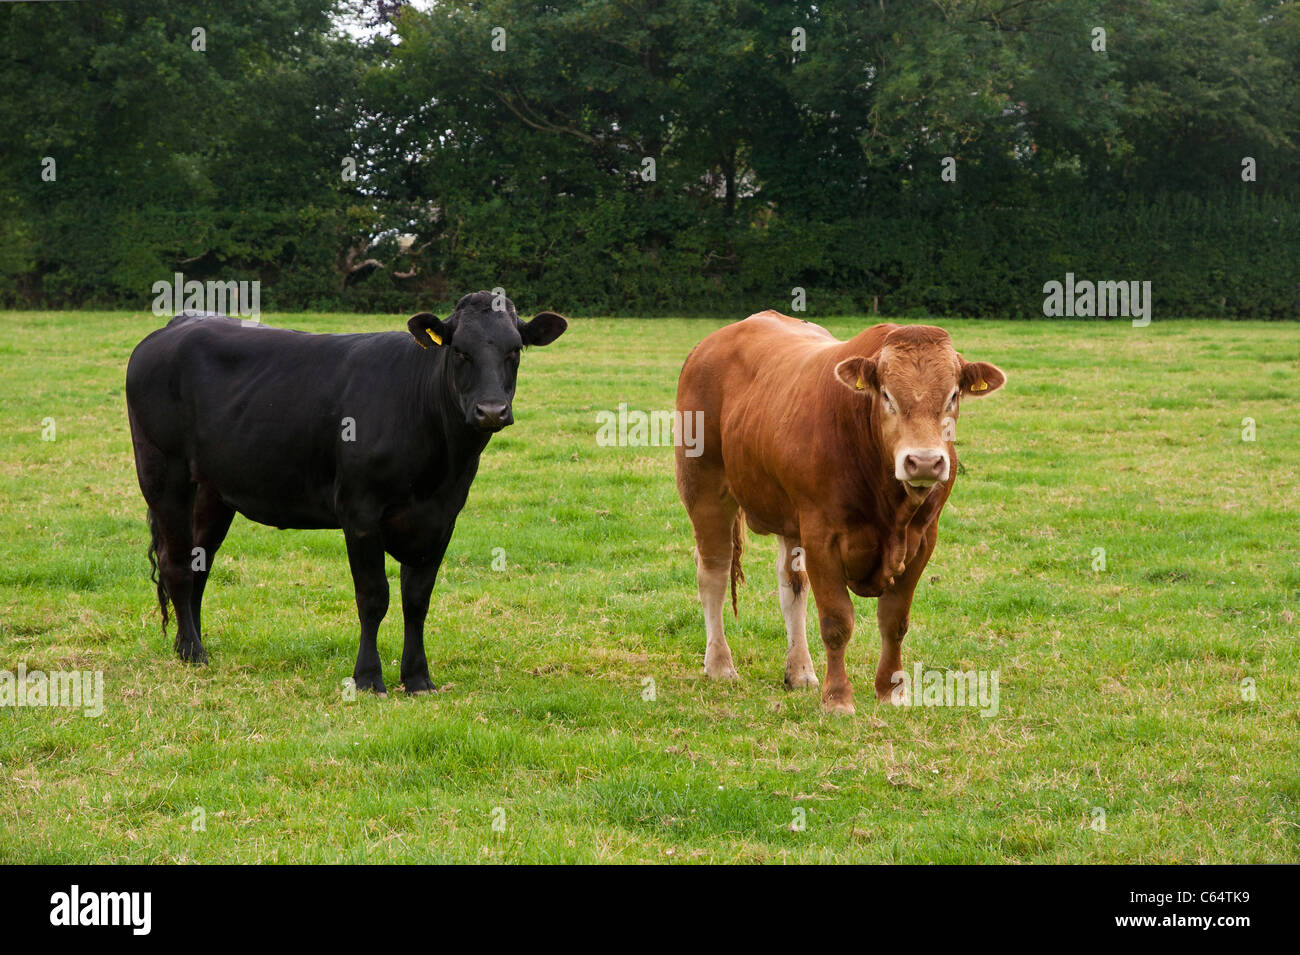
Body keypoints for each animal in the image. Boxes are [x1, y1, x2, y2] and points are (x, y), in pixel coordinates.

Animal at [125, 291, 564, 696]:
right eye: (459, 351)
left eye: (515, 350)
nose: (491, 411)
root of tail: (180, 324)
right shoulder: (360, 511)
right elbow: (373, 597)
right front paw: (368, 678)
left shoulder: (442, 517)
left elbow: (417, 600)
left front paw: (417, 678)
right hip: (163, 472)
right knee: (176, 564)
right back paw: (193, 652)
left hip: (212, 490)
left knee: (199, 561)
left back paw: (191, 647)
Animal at [676, 310, 1008, 712]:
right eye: (886, 395)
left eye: (953, 395)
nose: (925, 462)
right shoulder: (822, 535)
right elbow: (836, 622)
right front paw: (837, 698)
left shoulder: (923, 539)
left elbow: (894, 621)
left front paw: (891, 690)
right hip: (703, 487)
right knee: (713, 572)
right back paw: (720, 664)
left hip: (789, 517)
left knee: (792, 586)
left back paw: (800, 670)